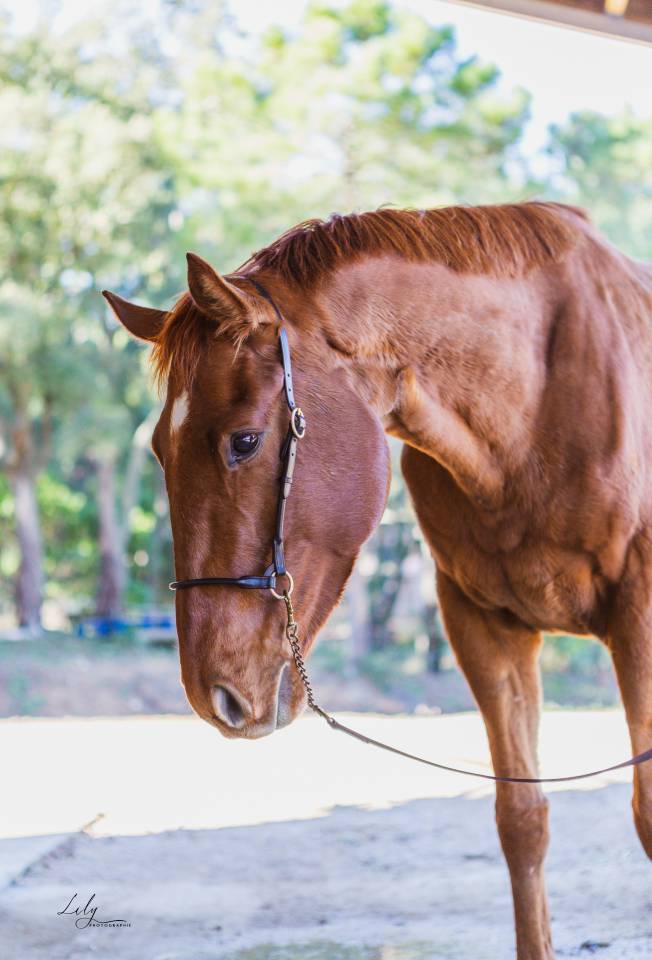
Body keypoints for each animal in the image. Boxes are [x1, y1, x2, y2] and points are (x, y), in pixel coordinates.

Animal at [104, 201, 652, 960]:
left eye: (244, 441)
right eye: (159, 449)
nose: (213, 695)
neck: (536, 407)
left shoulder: (640, 623)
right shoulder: (483, 628)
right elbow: (522, 820)